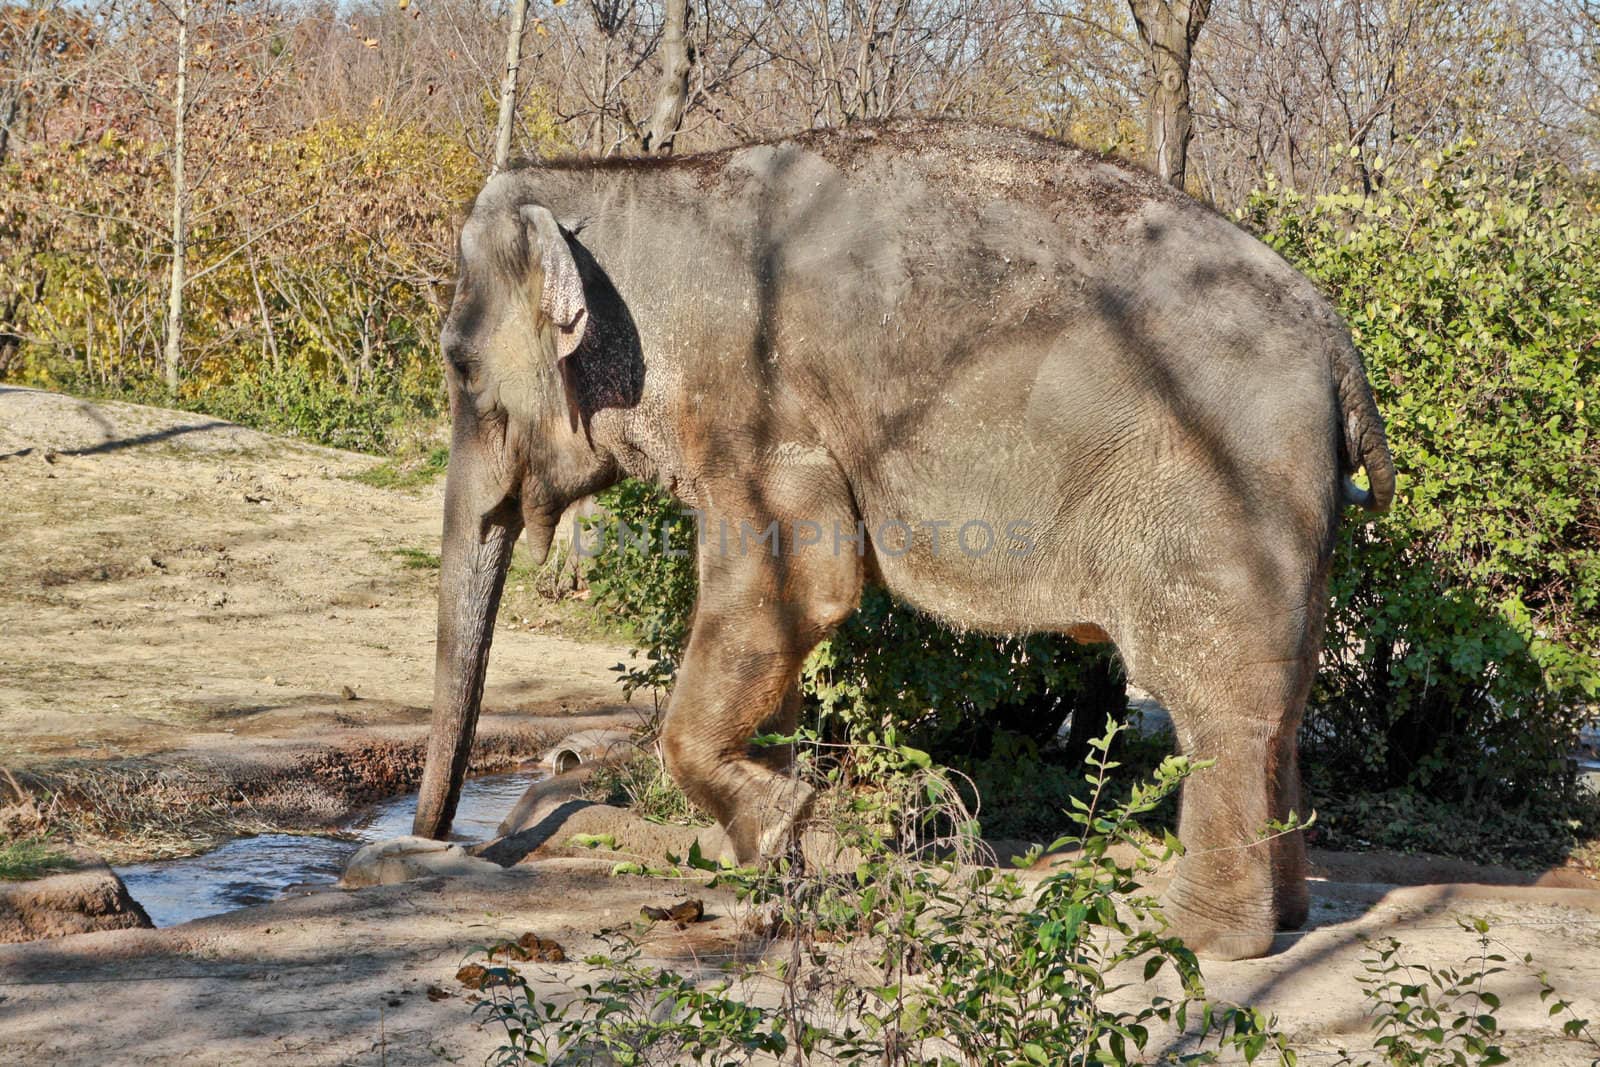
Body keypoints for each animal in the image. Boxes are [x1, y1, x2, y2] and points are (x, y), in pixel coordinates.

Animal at [412, 120, 1388, 966]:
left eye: (459, 364)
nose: (439, 844)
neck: (628, 187)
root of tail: (1338, 341)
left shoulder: (762, 413)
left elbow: (806, 581)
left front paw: (788, 816)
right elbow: (780, 619)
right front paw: (778, 855)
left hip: (1219, 498)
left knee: (1217, 699)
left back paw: (1199, 936)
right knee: (1284, 700)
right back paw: (1286, 916)